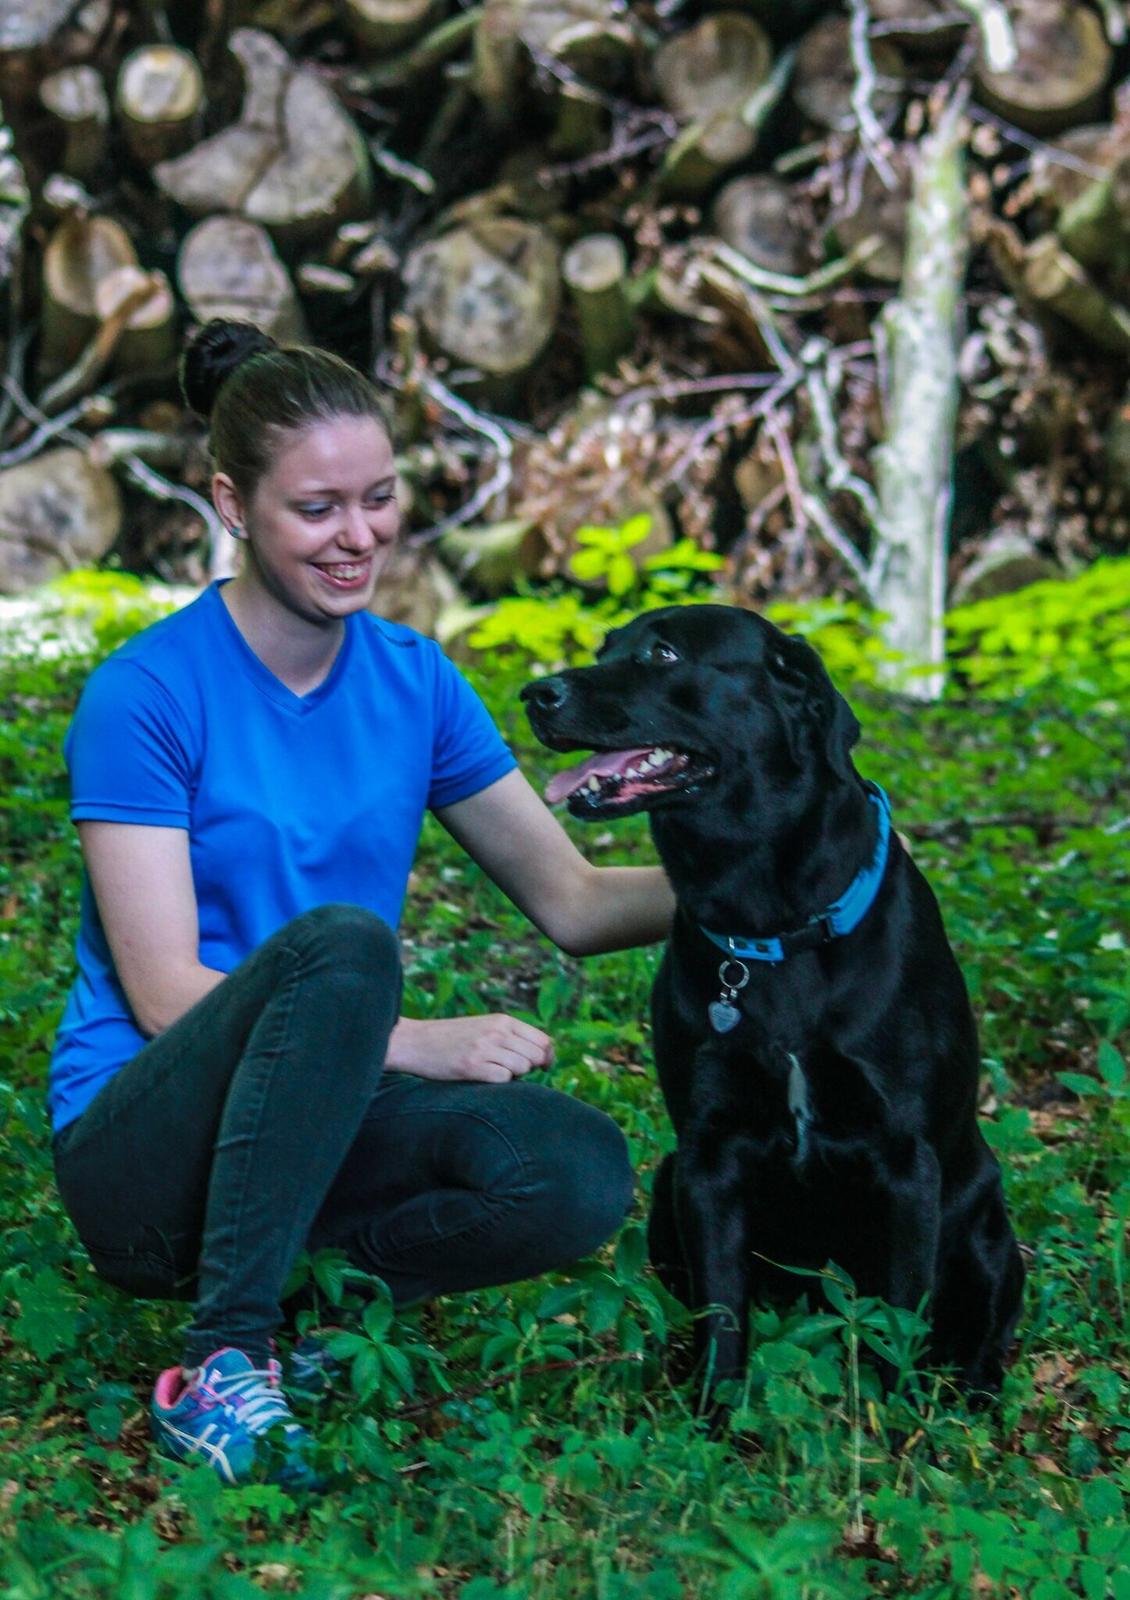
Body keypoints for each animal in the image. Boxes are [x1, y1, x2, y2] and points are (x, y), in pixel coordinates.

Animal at [518, 608, 1024, 1414]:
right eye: (604, 647)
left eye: (664, 653)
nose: (537, 694)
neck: (770, 925)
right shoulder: (707, 1157)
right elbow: (722, 1307)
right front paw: (713, 1417)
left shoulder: (908, 1165)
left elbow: (897, 1316)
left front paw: (894, 1424)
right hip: (665, 1188)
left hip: (988, 1229)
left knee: (979, 1327)